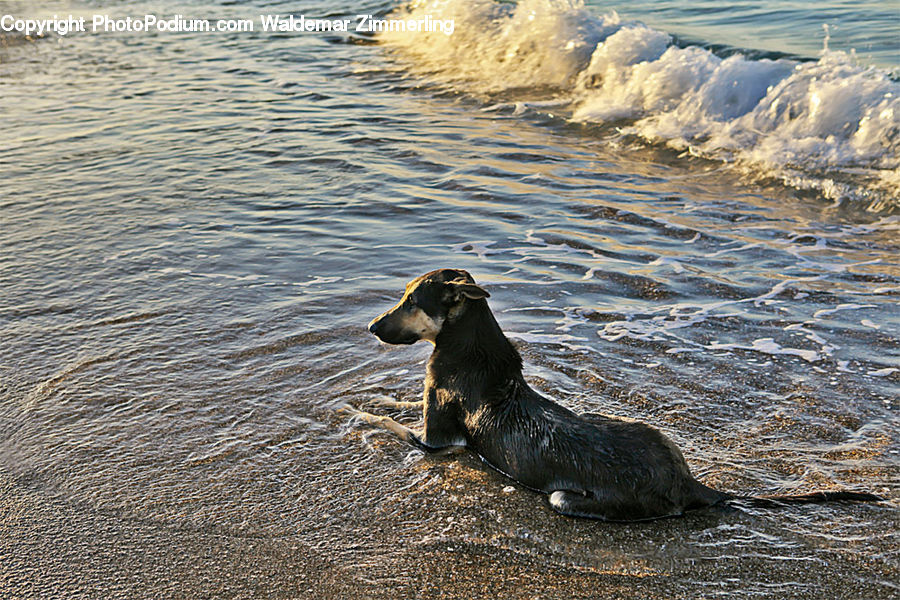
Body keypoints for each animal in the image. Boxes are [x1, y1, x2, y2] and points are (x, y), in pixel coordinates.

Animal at [348, 268, 884, 520]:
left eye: (411, 302)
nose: (370, 326)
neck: (467, 345)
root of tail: (690, 483)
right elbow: (396, 406)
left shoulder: (437, 442)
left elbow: (388, 422)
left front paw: (355, 412)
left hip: (564, 498)